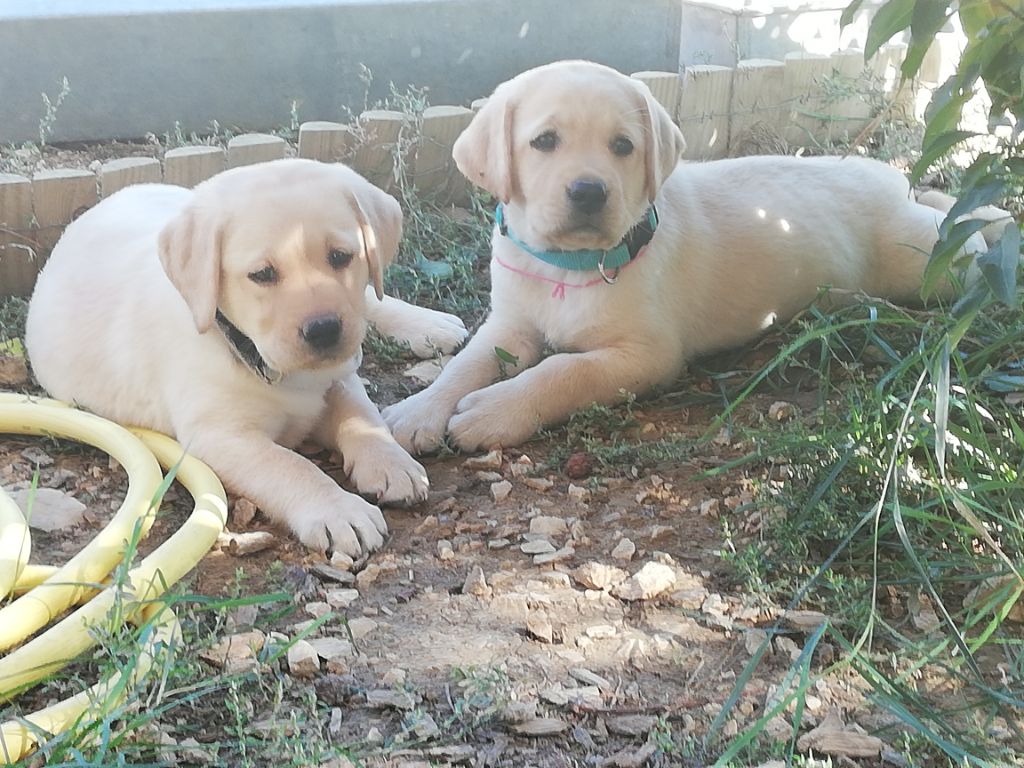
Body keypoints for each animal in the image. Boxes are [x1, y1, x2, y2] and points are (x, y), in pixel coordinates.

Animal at [28, 159, 468, 557]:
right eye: (263, 274)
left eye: (342, 257)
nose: (324, 330)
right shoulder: (221, 436)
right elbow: (288, 464)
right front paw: (340, 510)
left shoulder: (339, 376)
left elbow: (362, 417)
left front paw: (391, 464)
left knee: (373, 302)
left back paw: (429, 324)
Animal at [385, 63, 991, 456]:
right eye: (544, 141)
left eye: (623, 146)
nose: (588, 192)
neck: (567, 268)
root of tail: (892, 177)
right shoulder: (508, 325)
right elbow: (466, 363)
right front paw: (419, 410)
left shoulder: (646, 354)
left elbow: (565, 370)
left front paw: (494, 411)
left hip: (929, 263)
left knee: (968, 239)